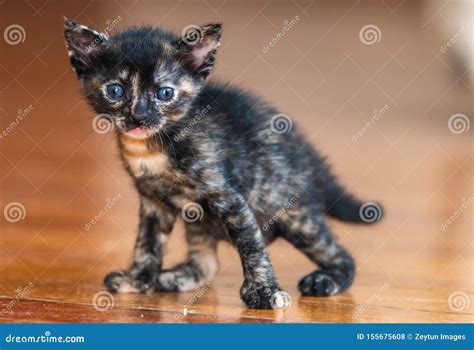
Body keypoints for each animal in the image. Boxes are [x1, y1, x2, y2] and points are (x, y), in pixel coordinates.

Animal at [64, 18, 382, 308]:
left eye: (165, 93)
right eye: (115, 91)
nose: (139, 117)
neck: (151, 149)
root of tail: (310, 155)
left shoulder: (230, 199)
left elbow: (252, 247)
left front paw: (263, 291)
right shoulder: (153, 201)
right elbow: (147, 243)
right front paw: (139, 278)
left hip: (291, 211)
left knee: (342, 256)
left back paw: (326, 280)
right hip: (199, 219)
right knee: (206, 263)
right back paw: (178, 276)